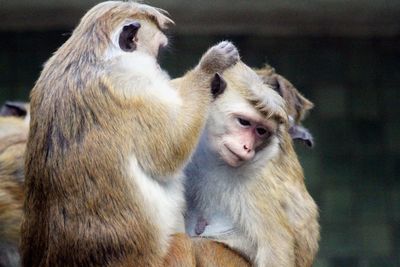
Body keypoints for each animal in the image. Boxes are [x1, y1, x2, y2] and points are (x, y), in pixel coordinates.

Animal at [21, 1, 239, 266]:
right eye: (158, 53)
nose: (160, 66)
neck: (92, 57)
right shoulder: (133, 84)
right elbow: (167, 154)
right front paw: (209, 69)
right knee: (182, 244)